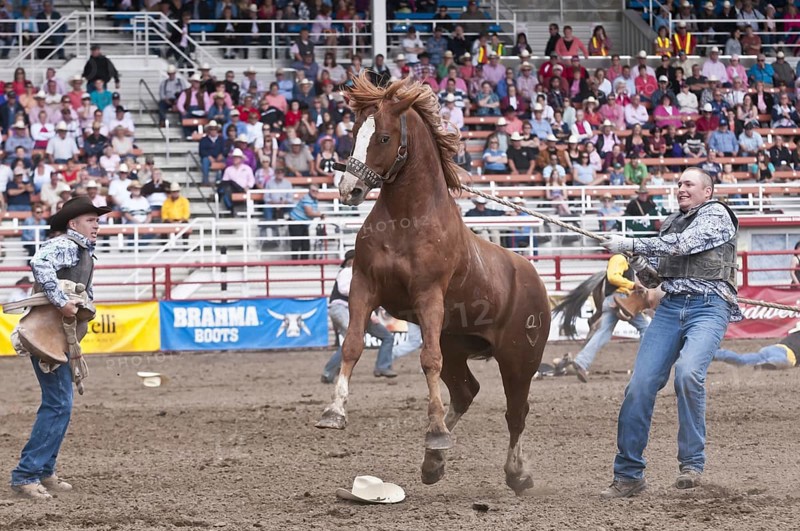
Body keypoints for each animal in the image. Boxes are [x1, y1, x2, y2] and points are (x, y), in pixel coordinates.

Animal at [315, 73, 551, 494]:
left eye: (384, 137)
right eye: (356, 132)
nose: (348, 190)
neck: (407, 219)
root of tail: (534, 280)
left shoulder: (429, 298)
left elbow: (428, 361)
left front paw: (437, 432)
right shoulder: (364, 286)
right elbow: (352, 345)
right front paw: (334, 410)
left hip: (519, 359)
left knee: (516, 412)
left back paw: (515, 472)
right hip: (457, 344)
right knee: (466, 392)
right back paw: (433, 461)